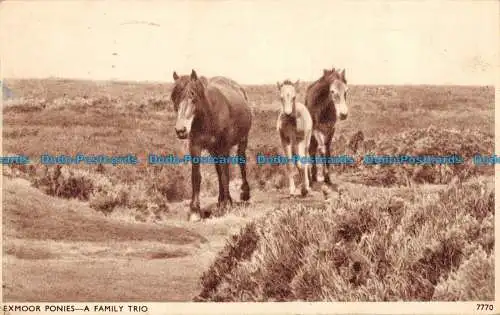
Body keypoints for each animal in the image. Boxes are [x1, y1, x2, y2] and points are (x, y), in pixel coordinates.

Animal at [170, 69, 252, 222]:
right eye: (174, 97)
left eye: (193, 95)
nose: (181, 130)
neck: (208, 117)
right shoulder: (195, 147)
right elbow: (197, 176)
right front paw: (195, 210)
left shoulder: (224, 147)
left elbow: (226, 174)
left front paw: (226, 205)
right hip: (214, 150)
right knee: (219, 171)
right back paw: (221, 199)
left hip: (242, 140)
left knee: (241, 162)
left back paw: (244, 193)